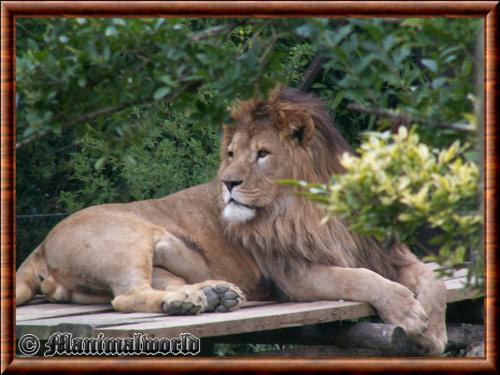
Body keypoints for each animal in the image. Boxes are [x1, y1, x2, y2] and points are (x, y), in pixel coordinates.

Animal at [15, 87, 448, 356]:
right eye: (231, 154)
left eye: (262, 154)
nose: (227, 182)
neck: (310, 206)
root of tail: (39, 247)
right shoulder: (294, 275)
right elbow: (362, 278)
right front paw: (410, 316)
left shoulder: (385, 251)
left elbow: (434, 281)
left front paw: (435, 334)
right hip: (128, 237)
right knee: (126, 296)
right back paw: (193, 300)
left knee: (155, 287)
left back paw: (208, 296)